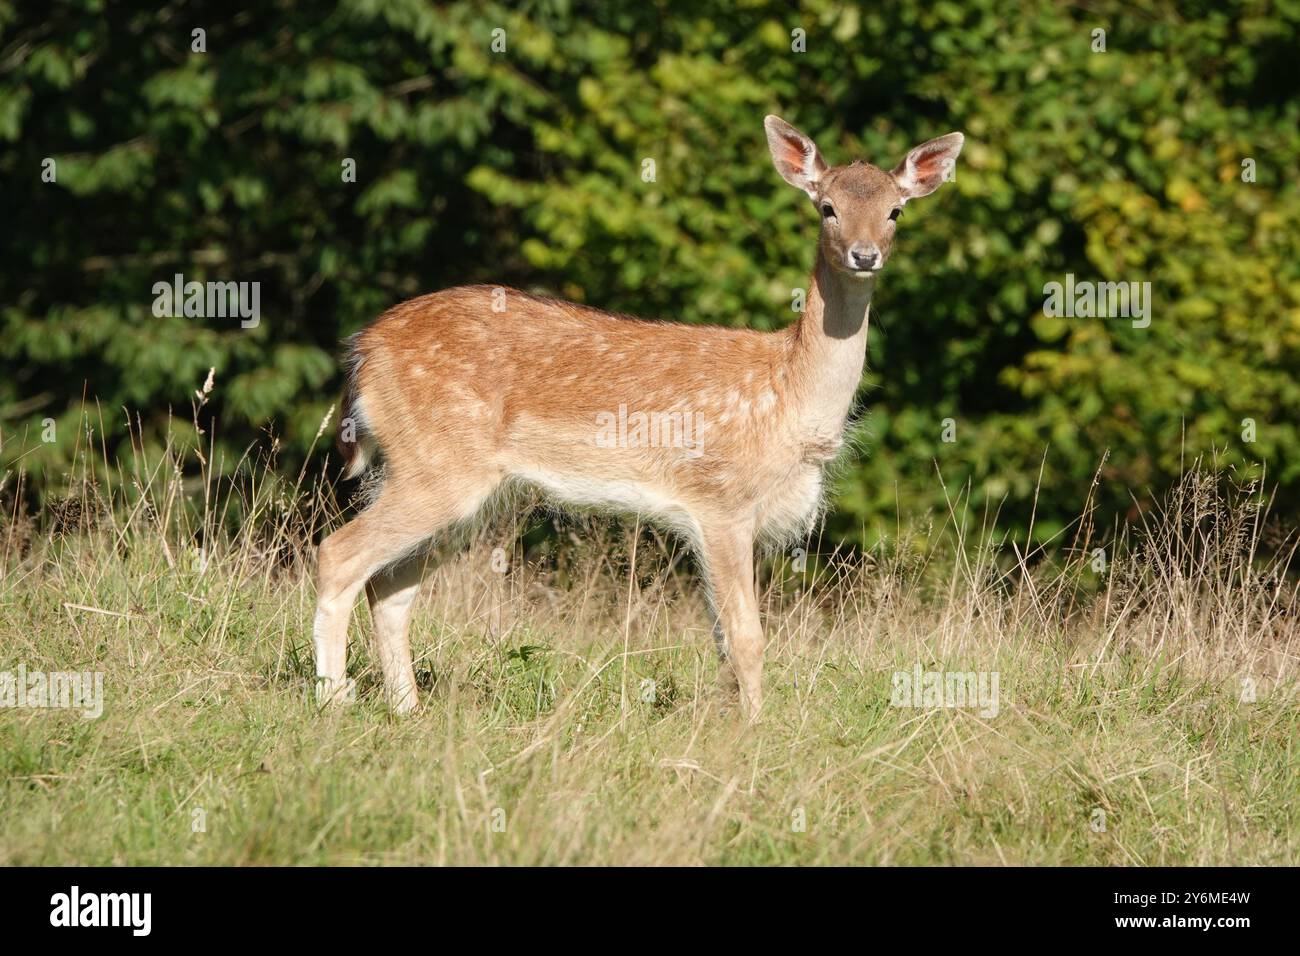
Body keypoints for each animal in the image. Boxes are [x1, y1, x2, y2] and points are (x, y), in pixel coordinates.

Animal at [313, 115, 963, 719]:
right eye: (827, 206)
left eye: (896, 211)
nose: (864, 254)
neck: (789, 399)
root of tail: (363, 352)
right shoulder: (720, 499)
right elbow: (747, 638)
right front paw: (757, 733)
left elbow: (724, 640)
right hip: (437, 464)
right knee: (338, 555)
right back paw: (334, 702)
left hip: (461, 490)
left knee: (389, 585)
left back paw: (406, 710)